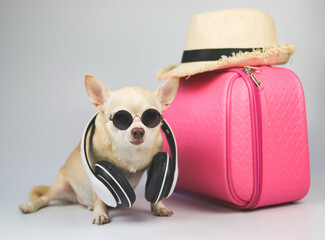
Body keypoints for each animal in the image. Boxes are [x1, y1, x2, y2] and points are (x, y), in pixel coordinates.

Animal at [19, 75, 178, 225]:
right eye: (121, 118)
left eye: (152, 116)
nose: (138, 131)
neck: (130, 150)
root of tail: (76, 198)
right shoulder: (96, 170)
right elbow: (99, 195)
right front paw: (100, 213)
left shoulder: (154, 165)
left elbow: (157, 190)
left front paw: (159, 207)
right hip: (59, 186)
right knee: (44, 198)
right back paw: (30, 206)